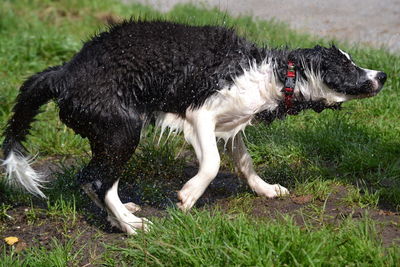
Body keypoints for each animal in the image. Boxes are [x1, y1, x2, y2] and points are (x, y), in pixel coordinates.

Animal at [0, 21, 388, 234]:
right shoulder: (200, 114)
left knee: (92, 178)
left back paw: (121, 216)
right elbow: (212, 163)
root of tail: (63, 73)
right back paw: (131, 226)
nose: (382, 75)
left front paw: (265, 189)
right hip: (122, 130)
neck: (277, 75)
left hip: (107, 134)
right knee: (98, 181)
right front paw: (188, 197)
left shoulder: (231, 124)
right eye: (347, 66)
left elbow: (244, 162)